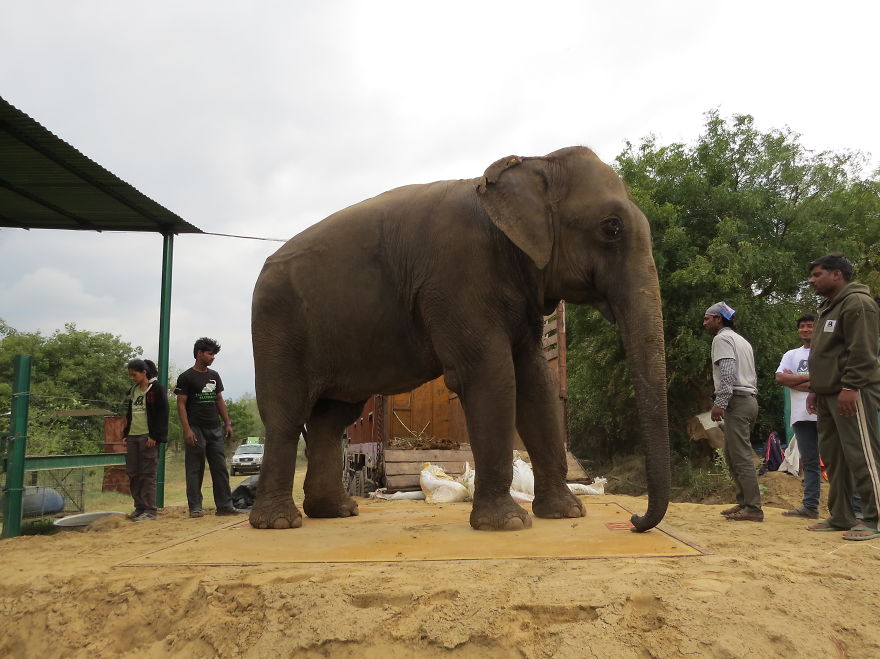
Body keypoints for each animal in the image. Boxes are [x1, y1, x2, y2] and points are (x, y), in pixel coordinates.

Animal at [249, 146, 670, 533]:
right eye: (611, 227)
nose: (635, 520)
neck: (534, 163)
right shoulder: (458, 278)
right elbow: (490, 374)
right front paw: (508, 524)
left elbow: (535, 381)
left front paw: (565, 513)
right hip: (276, 324)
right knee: (287, 414)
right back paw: (279, 523)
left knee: (331, 417)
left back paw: (335, 512)